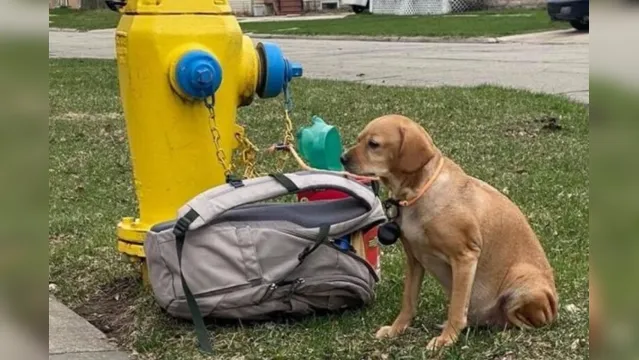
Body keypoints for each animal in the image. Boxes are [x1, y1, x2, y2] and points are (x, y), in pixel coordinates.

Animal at [342, 115, 556, 352]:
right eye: (359, 139)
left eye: (374, 144)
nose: (342, 158)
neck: (418, 193)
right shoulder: (414, 259)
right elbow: (408, 301)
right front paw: (396, 329)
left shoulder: (465, 257)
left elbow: (456, 308)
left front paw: (447, 339)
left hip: (523, 283)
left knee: (523, 321)